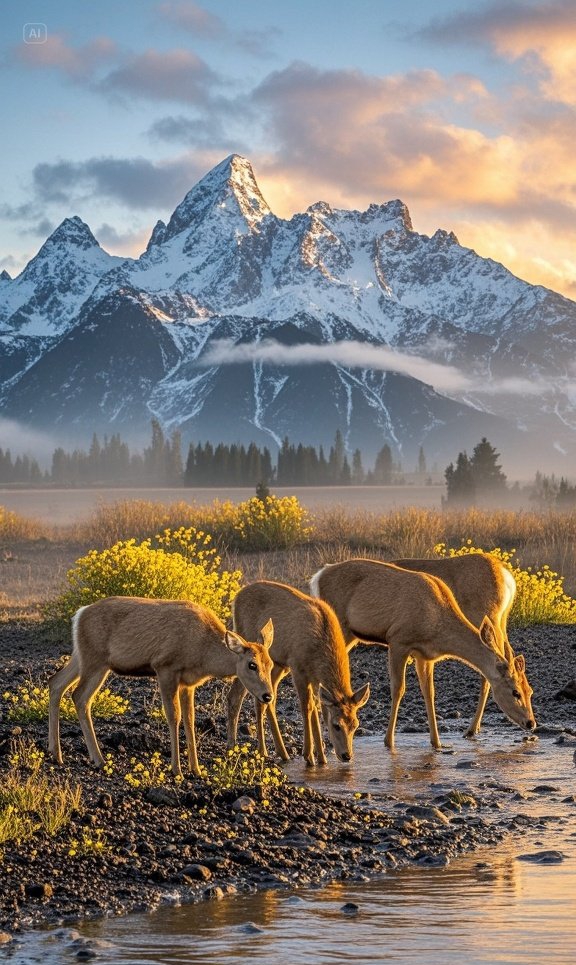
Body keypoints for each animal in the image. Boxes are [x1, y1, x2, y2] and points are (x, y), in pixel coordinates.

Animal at [48, 596, 274, 778]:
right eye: (252, 664)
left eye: (270, 664)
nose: (268, 695)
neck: (203, 652)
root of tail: (79, 614)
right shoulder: (165, 667)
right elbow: (174, 716)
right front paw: (177, 769)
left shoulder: (188, 683)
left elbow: (190, 720)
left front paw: (196, 769)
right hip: (95, 660)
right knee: (79, 696)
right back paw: (98, 759)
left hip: (82, 657)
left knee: (56, 683)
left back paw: (55, 753)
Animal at [227, 580, 370, 766]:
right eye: (336, 725)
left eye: (355, 725)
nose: (347, 755)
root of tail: (237, 597)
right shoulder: (298, 667)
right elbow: (306, 707)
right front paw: (308, 755)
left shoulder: (314, 677)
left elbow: (316, 707)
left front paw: (322, 757)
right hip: (251, 650)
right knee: (237, 696)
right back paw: (248, 748)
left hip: (277, 664)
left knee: (266, 699)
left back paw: (281, 752)